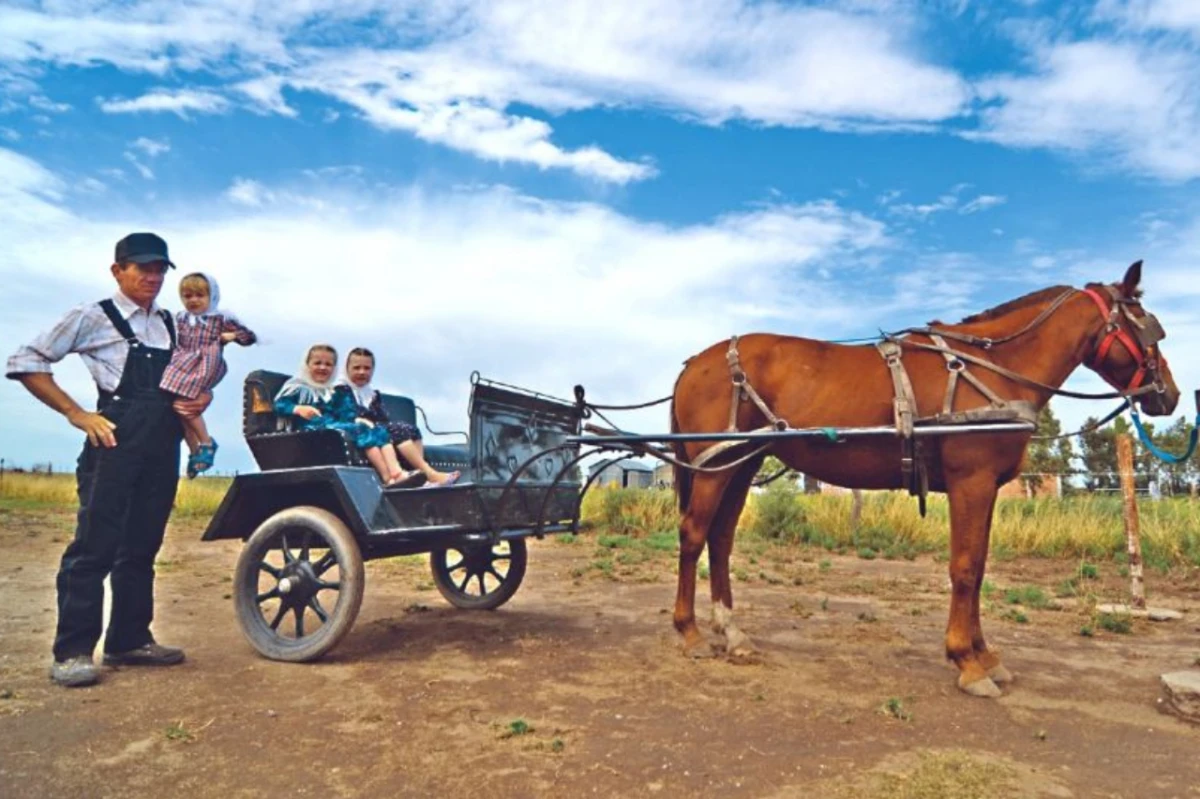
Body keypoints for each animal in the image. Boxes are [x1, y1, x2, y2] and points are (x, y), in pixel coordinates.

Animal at [676, 260, 1180, 691]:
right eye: (1148, 326)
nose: (1170, 395)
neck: (997, 370)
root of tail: (694, 362)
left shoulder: (985, 487)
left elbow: (979, 567)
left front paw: (985, 655)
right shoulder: (970, 481)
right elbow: (966, 567)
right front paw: (967, 660)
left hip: (739, 463)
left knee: (721, 538)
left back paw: (732, 632)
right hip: (713, 467)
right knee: (694, 533)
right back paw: (689, 631)